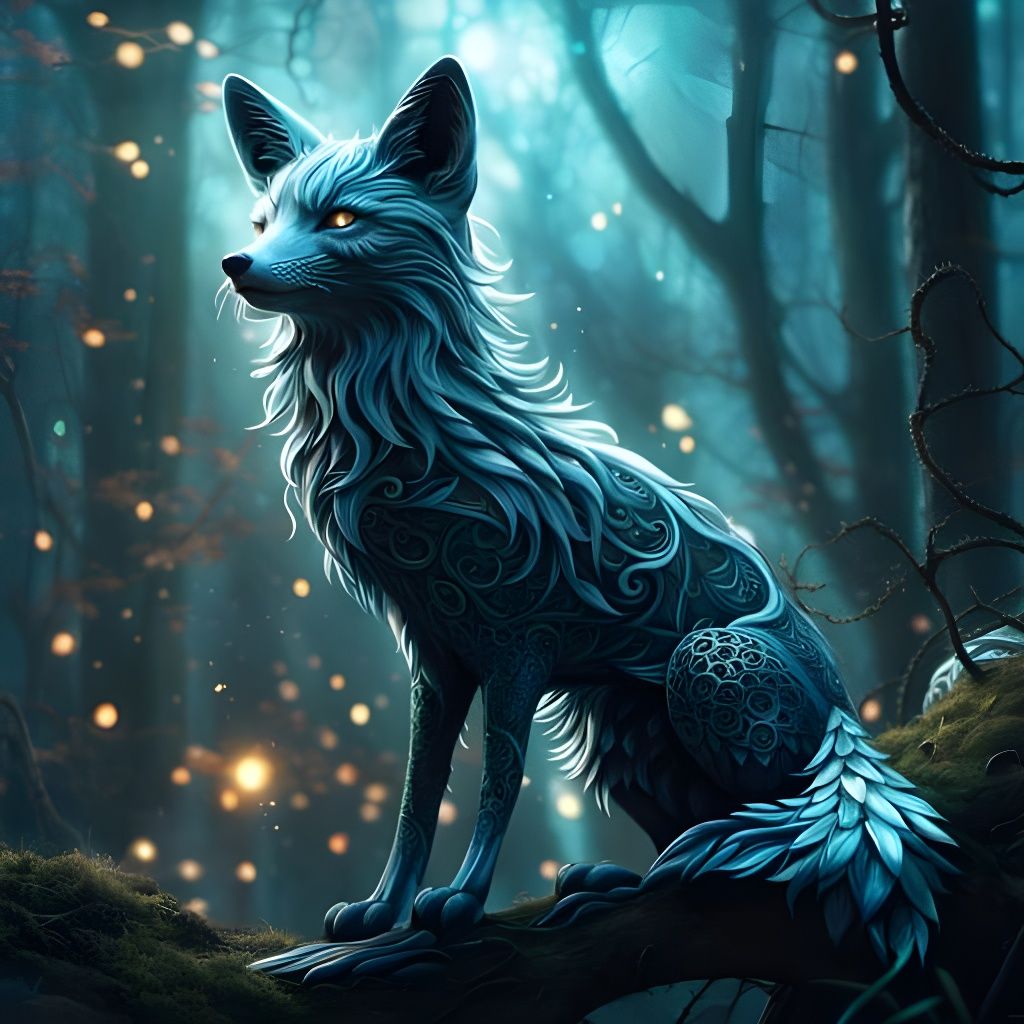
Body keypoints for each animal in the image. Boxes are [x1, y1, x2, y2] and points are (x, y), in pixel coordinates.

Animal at [220, 57, 956, 982]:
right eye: (265, 219)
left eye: (342, 219)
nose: (235, 261)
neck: (414, 443)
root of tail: (849, 726)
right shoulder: (435, 656)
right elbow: (417, 796)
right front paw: (381, 912)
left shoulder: (518, 649)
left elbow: (497, 784)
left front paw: (459, 904)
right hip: (617, 729)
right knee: (693, 836)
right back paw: (612, 881)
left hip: (700, 662)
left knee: (787, 829)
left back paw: (698, 860)